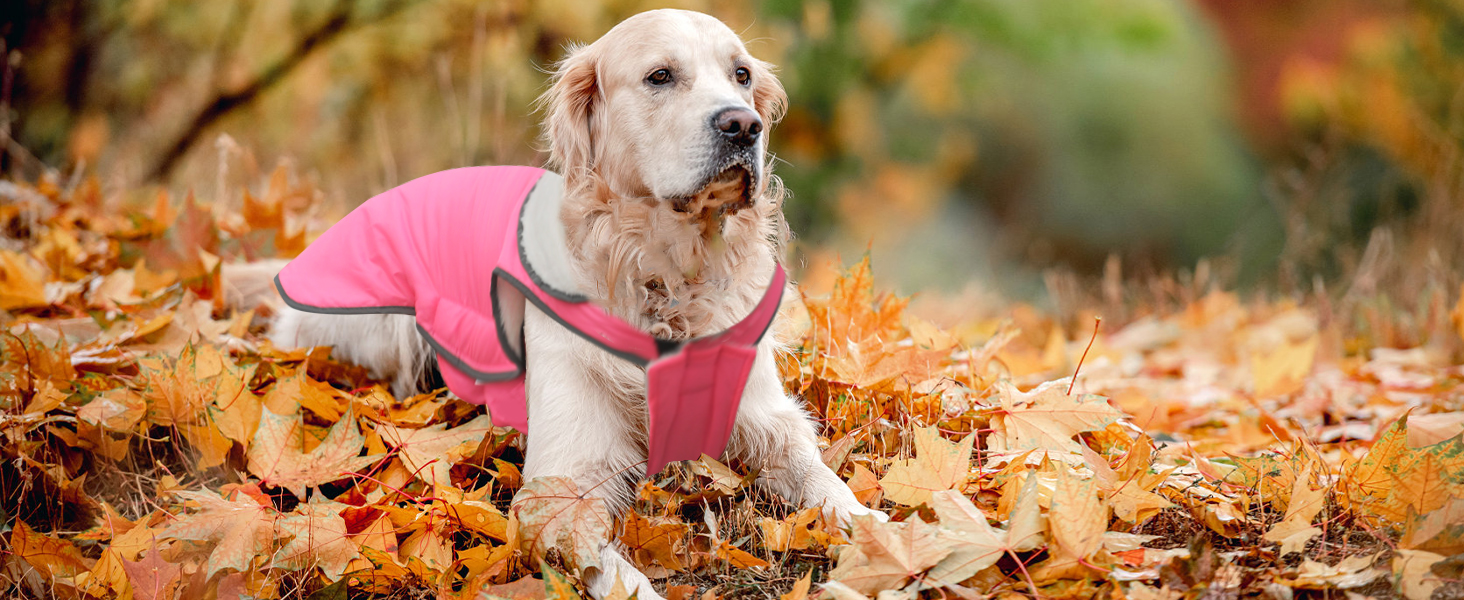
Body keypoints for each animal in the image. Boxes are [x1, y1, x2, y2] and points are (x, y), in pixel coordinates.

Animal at [235, 10, 884, 600]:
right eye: (660, 76)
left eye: (742, 75)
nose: (743, 126)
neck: (662, 277)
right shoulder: (559, 488)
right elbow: (622, 578)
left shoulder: (767, 417)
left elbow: (826, 480)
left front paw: (882, 537)